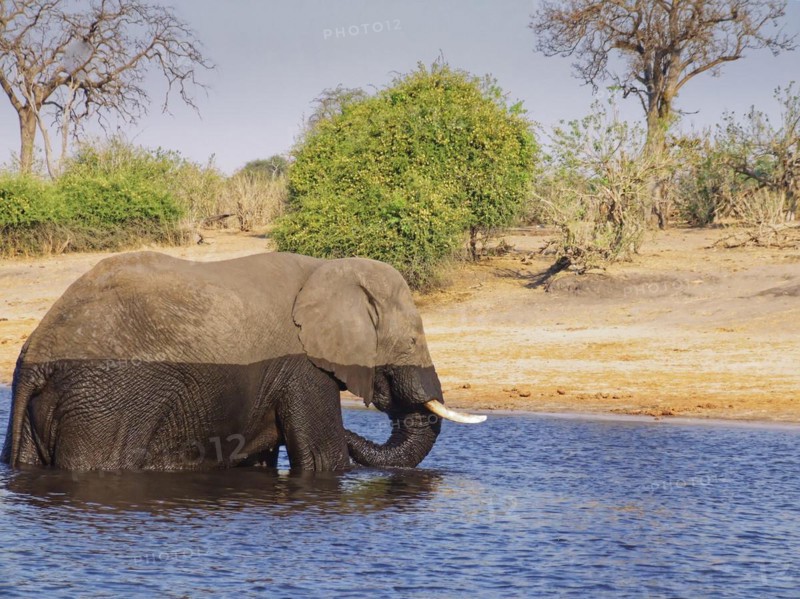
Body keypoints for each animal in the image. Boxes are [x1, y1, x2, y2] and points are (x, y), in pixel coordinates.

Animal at [0, 251, 484, 471]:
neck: (329, 268)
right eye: (413, 338)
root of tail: (35, 355)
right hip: (107, 402)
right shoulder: (301, 364)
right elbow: (324, 460)